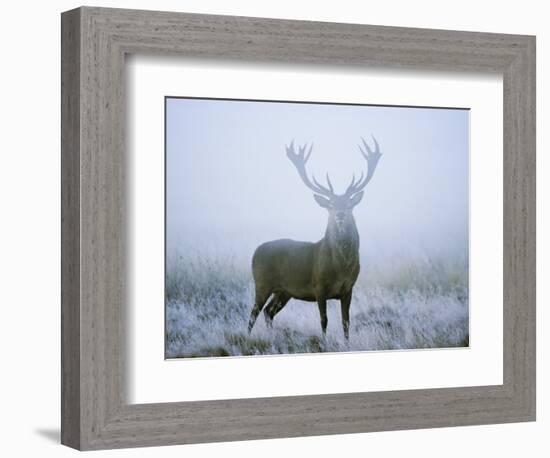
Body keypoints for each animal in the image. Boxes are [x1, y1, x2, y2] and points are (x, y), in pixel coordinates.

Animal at [250, 136, 384, 340]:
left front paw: (347, 343)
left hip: (284, 291)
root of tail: (255, 252)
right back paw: (247, 337)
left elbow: (346, 322)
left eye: (349, 204)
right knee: (253, 313)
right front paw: (325, 341)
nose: (340, 214)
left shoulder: (349, 289)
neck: (341, 268)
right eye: (330, 205)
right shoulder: (318, 286)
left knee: (268, 311)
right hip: (262, 283)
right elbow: (324, 320)